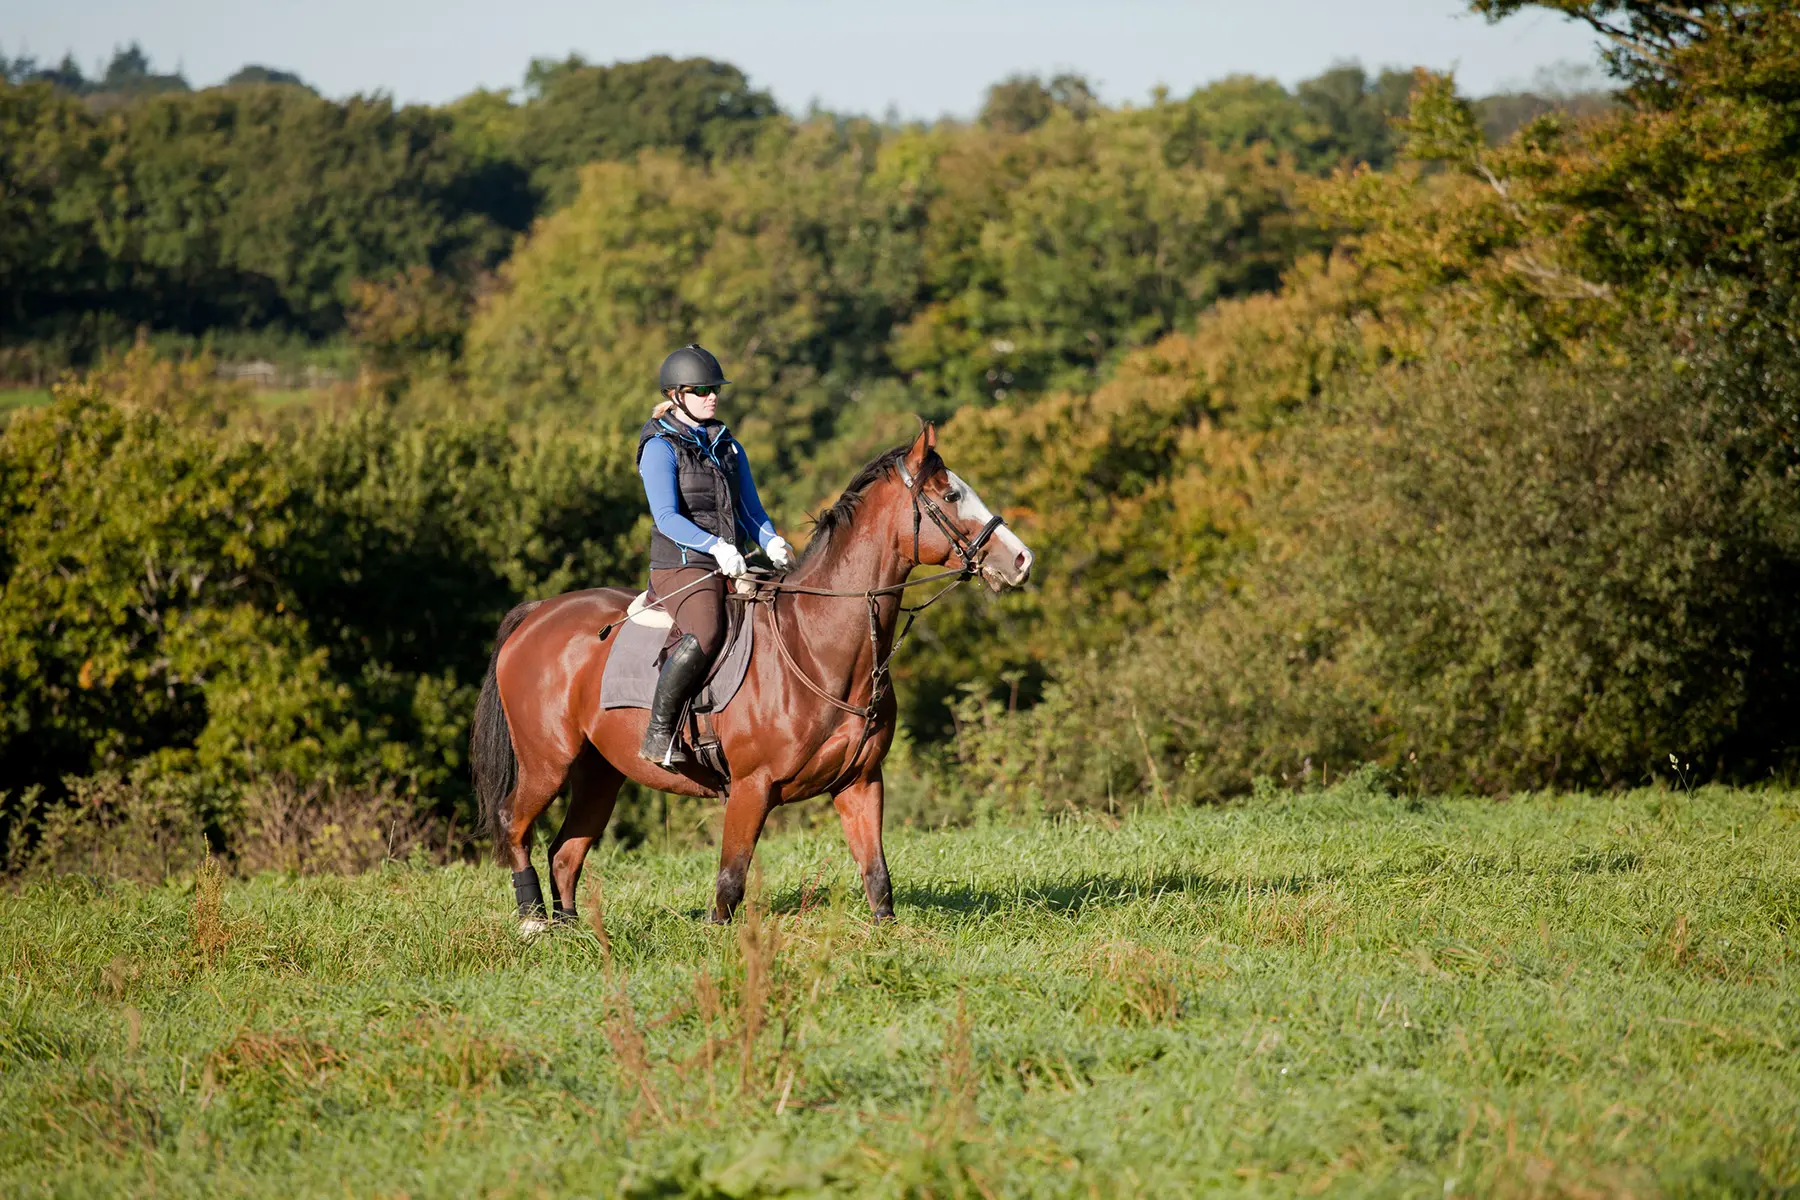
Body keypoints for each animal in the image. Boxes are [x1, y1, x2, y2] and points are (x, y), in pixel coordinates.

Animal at [469, 423, 1035, 928]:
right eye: (952, 494)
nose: (1022, 560)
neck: (816, 645)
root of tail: (539, 613)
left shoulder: (860, 782)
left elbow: (877, 876)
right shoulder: (750, 789)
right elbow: (729, 885)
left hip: (599, 772)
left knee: (566, 852)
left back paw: (574, 937)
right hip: (548, 762)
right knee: (516, 827)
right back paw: (534, 924)